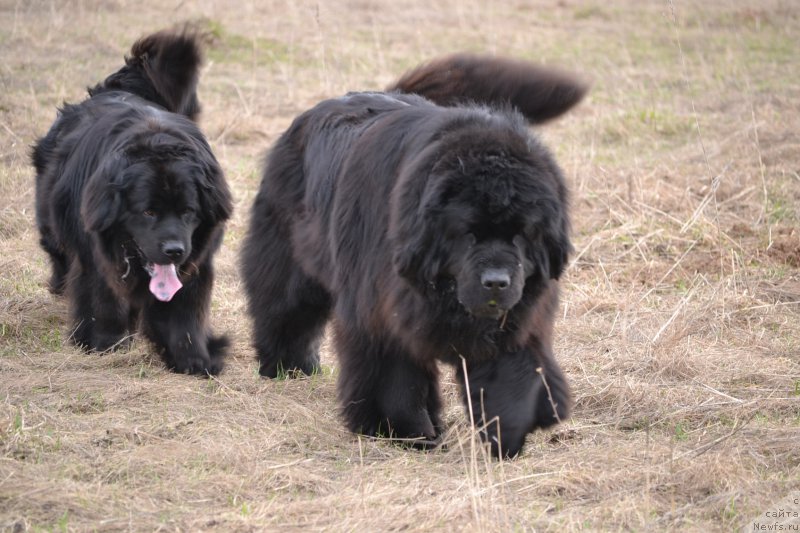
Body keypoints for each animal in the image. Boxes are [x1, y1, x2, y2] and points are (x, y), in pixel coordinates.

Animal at [34, 26, 234, 374]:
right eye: (148, 212)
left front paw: (194, 358)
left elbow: (185, 308)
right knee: (59, 253)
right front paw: (103, 343)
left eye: (188, 212)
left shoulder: (198, 257)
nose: (174, 250)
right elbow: (101, 295)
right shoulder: (96, 251)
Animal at [244, 55, 588, 458]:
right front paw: (404, 431)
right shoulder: (379, 312)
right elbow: (394, 376)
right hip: (289, 256)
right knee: (284, 305)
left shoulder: (517, 319)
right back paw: (286, 365)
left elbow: (515, 371)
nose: (496, 281)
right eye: (468, 233)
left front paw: (511, 430)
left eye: (521, 234)